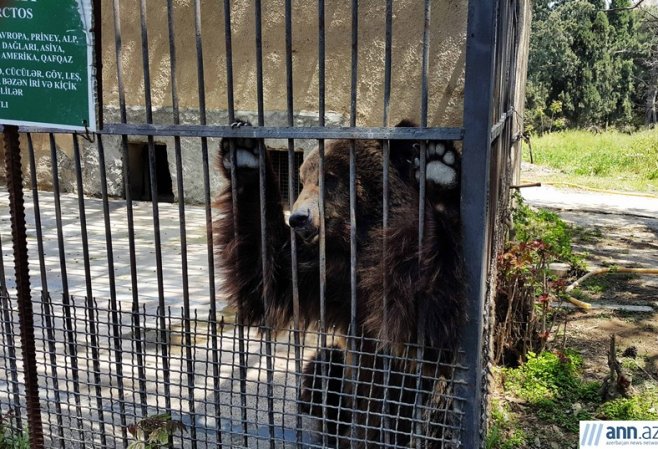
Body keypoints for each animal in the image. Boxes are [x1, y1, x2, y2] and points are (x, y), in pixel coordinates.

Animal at [214, 120, 462, 448]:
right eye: (303, 179)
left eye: (330, 178)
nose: (298, 218)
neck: (361, 241)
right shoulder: (329, 278)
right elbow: (267, 279)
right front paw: (244, 155)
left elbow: (430, 325)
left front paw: (439, 172)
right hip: (345, 384)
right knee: (323, 370)